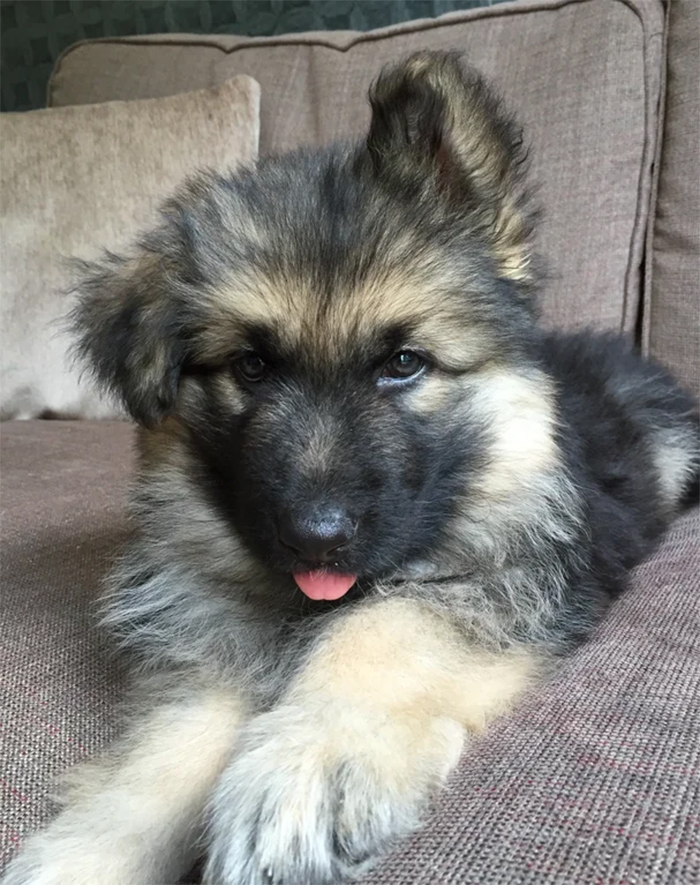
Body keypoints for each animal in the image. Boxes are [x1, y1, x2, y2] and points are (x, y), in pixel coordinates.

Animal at [4, 51, 696, 884]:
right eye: (251, 366)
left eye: (404, 363)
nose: (318, 538)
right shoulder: (212, 636)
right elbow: (169, 745)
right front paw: (85, 849)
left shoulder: (502, 578)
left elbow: (387, 628)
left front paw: (310, 761)